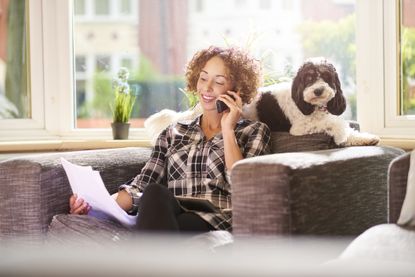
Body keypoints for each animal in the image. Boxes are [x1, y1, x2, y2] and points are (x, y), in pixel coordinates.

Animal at [242, 57, 382, 146]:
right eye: (308, 78)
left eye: (327, 77)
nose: (318, 90)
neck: (316, 107)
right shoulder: (299, 127)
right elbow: (334, 123)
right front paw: (341, 134)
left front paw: (365, 138)